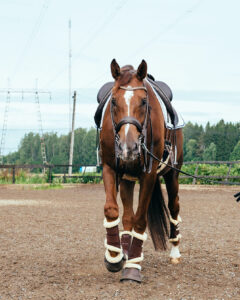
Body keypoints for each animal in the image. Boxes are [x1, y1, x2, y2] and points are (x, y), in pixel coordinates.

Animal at [99, 59, 184, 284]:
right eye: (113, 101)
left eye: (144, 102)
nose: (128, 147)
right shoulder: (110, 167)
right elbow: (112, 210)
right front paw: (114, 257)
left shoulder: (149, 174)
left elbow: (140, 220)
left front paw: (132, 268)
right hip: (127, 179)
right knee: (127, 216)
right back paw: (125, 251)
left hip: (172, 175)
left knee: (174, 207)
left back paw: (174, 252)